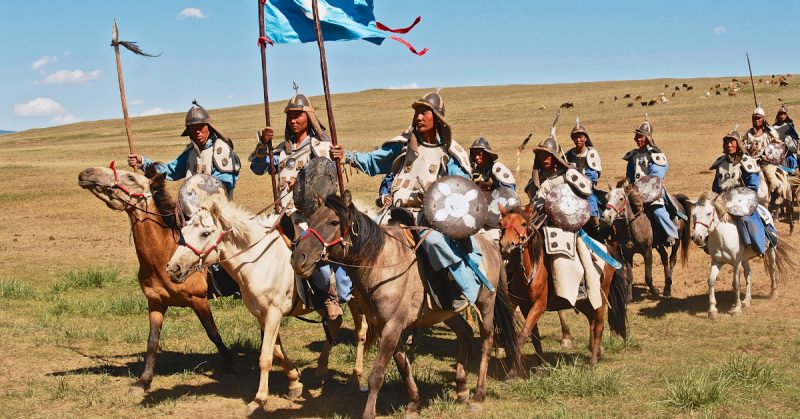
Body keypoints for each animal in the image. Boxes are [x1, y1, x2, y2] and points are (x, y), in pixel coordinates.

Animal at [77, 164, 233, 398]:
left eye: (131, 177)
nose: (87, 172)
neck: (164, 253)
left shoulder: (199, 300)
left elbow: (213, 333)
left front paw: (231, 365)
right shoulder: (156, 302)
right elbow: (152, 341)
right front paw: (144, 381)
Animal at [166, 195, 372, 416]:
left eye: (205, 233)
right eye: (184, 231)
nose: (173, 268)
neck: (258, 261)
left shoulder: (274, 313)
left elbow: (265, 357)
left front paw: (259, 399)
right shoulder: (262, 315)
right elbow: (277, 352)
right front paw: (294, 382)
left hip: (356, 300)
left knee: (361, 331)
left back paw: (356, 376)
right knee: (335, 323)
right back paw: (321, 369)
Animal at [290, 194, 524, 419]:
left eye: (333, 222)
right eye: (311, 220)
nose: (298, 258)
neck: (380, 263)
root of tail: (491, 245)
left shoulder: (392, 327)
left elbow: (377, 374)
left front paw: (369, 412)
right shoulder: (389, 327)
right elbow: (403, 366)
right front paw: (413, 404)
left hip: (486, 304)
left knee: (486, 342)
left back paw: (478, 395)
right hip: (446, 312)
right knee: (465, 333)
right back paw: (462, 388)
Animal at [496, 204, 628, 368]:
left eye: (523, 224)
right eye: (501, 223)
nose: (506, 245)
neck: (531, 269)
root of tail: (606, 249)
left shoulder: (539, 305)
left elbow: (522, 337)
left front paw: (514, 369)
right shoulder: (526, 306)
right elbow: (533, 336)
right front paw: (542, 363)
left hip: (600, 296)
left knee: (599, 326)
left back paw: (592, 362)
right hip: (584, 302)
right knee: (591, 321)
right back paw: (595, 351)